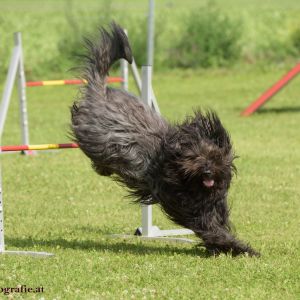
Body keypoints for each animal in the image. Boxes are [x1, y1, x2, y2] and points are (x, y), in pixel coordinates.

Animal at [71, 24, 258, 258]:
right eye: (195, 158)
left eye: (214, 156)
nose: (207, 172)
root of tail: (101, 91)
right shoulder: (183, 203)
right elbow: (211, 228)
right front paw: (238, 247)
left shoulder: (211, 203)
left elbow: (218, 221)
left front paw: (223, 246)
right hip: (97, 138)